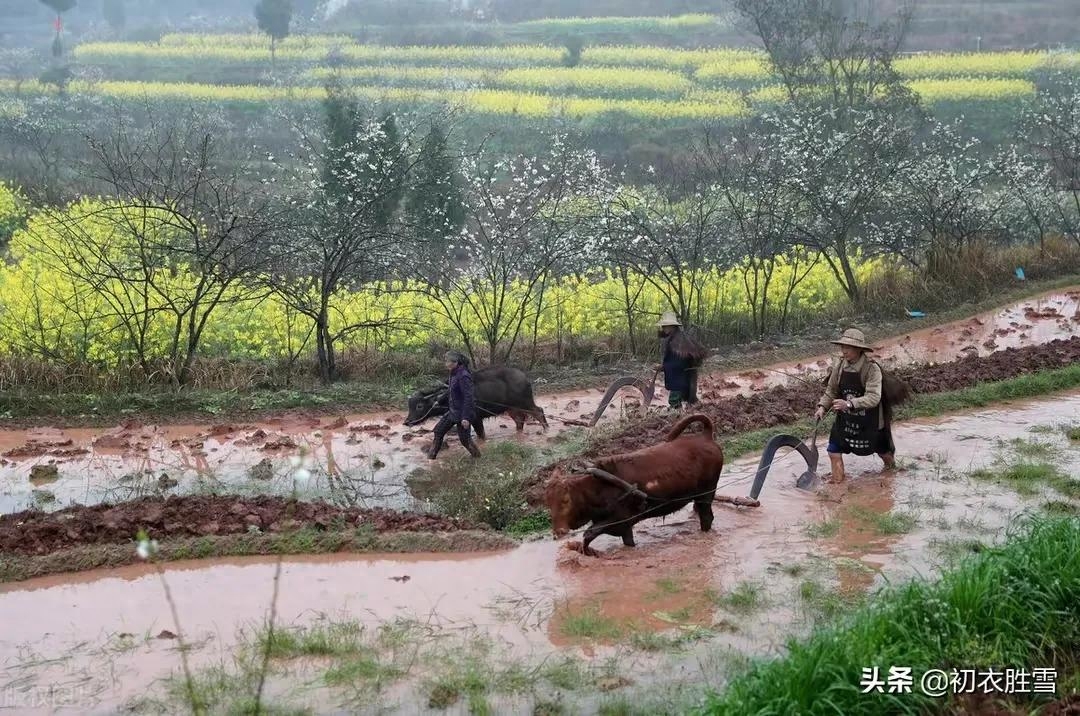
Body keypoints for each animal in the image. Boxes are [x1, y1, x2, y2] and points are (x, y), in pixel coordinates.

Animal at [403, 367, 548, 440]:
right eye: (409, 406)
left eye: (419, 406)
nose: (407, 422)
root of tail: (525, 378)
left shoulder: (476, 418)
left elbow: (481, 435)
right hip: (510, 408)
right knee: (520, 420)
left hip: (526, 403)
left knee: (539, 411)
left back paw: (546, 430)